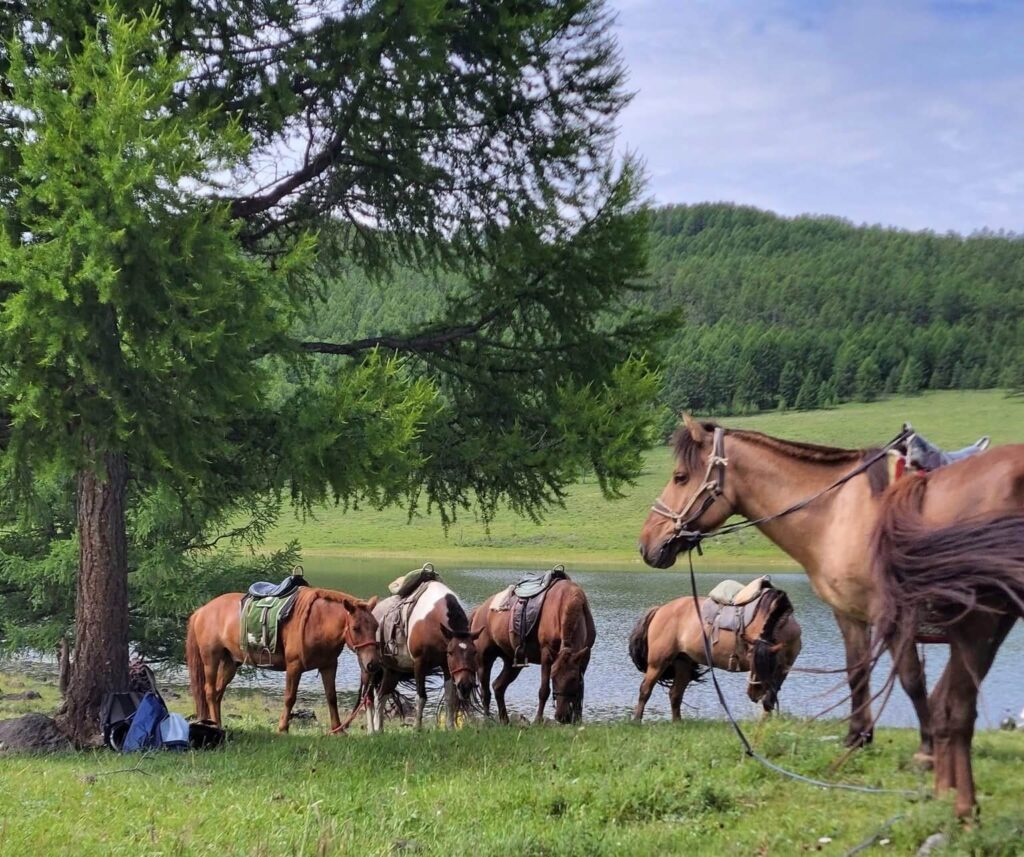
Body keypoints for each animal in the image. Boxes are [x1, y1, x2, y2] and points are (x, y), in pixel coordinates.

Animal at [186, 588, 381, 733]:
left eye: (376, 626)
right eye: (356, 628)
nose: (372, 664)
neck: (318, 622)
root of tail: (202, 610)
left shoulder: (329, 666)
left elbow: (331, 697)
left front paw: (338, 730)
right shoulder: (294, 666)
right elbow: (289, 697)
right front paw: (283, 728)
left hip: (230, 663)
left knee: (218, 693)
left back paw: (217, 724)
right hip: (211, 659)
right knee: (210, 692)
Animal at [367, 579, 481, 731]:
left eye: (474, 652)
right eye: (451, 652)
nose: (465, 686)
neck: (431, 620)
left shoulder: (446, 665)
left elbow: (449, 697)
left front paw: (450, 728)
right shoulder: (420, 662)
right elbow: (420, 697)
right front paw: (417, 728)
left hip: (392, 671)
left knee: (381, 696)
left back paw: (379, 729)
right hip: (370, 671)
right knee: (369, 698)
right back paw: (371, 730)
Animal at [471, 578, 596, 724]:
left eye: (573, 678)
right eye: (553, 677)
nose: (562, 717)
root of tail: (479, 610)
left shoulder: (585, 657)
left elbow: (580, 690)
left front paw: (578, 720)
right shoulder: (547, 653)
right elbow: (544, 691)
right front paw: (538, 720)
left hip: (512, 662)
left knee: (498, 686)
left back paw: (505, 721)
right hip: (484, 660)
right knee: (485, 692)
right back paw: (487, 720)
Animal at [628, 587, 801, 721]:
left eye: (771, 666)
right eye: (752, 661)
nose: (754, 695)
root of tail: (660, 609)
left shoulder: (784, 668)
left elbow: (770, 700)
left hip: (683, 662)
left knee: (675, 694)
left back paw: (677, 722)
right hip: (658, 662)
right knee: (645, 690)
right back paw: (637, 721)